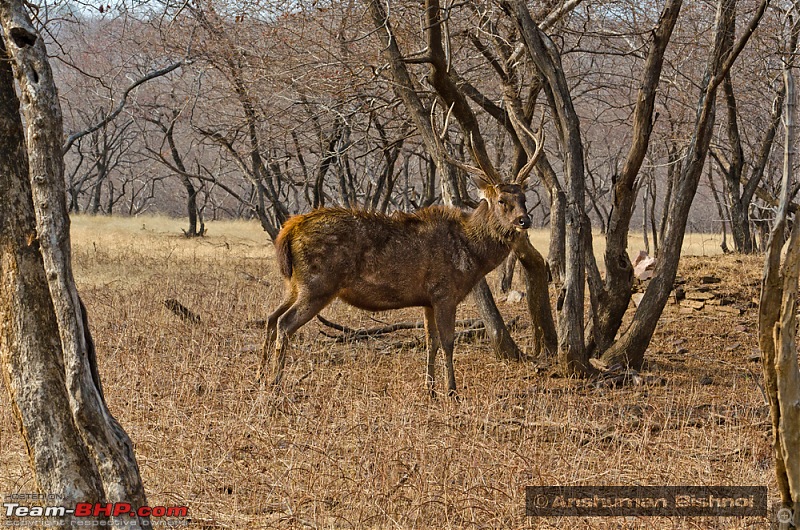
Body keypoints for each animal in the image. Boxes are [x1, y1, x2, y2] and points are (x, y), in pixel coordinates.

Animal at [258, 116, 544, 396]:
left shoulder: (428, 299)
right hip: (318, 283)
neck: (472, 255)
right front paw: (451, 390)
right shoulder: (444, 291)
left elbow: (431, 342)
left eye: (523, 198)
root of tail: (289, 230)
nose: (524, 220)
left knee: (271, 318)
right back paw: (276, 383)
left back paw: (261, 377)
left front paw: (430, 388)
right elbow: (448, 341)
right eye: (502, 201)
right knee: (284, 323)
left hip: (295, 284)